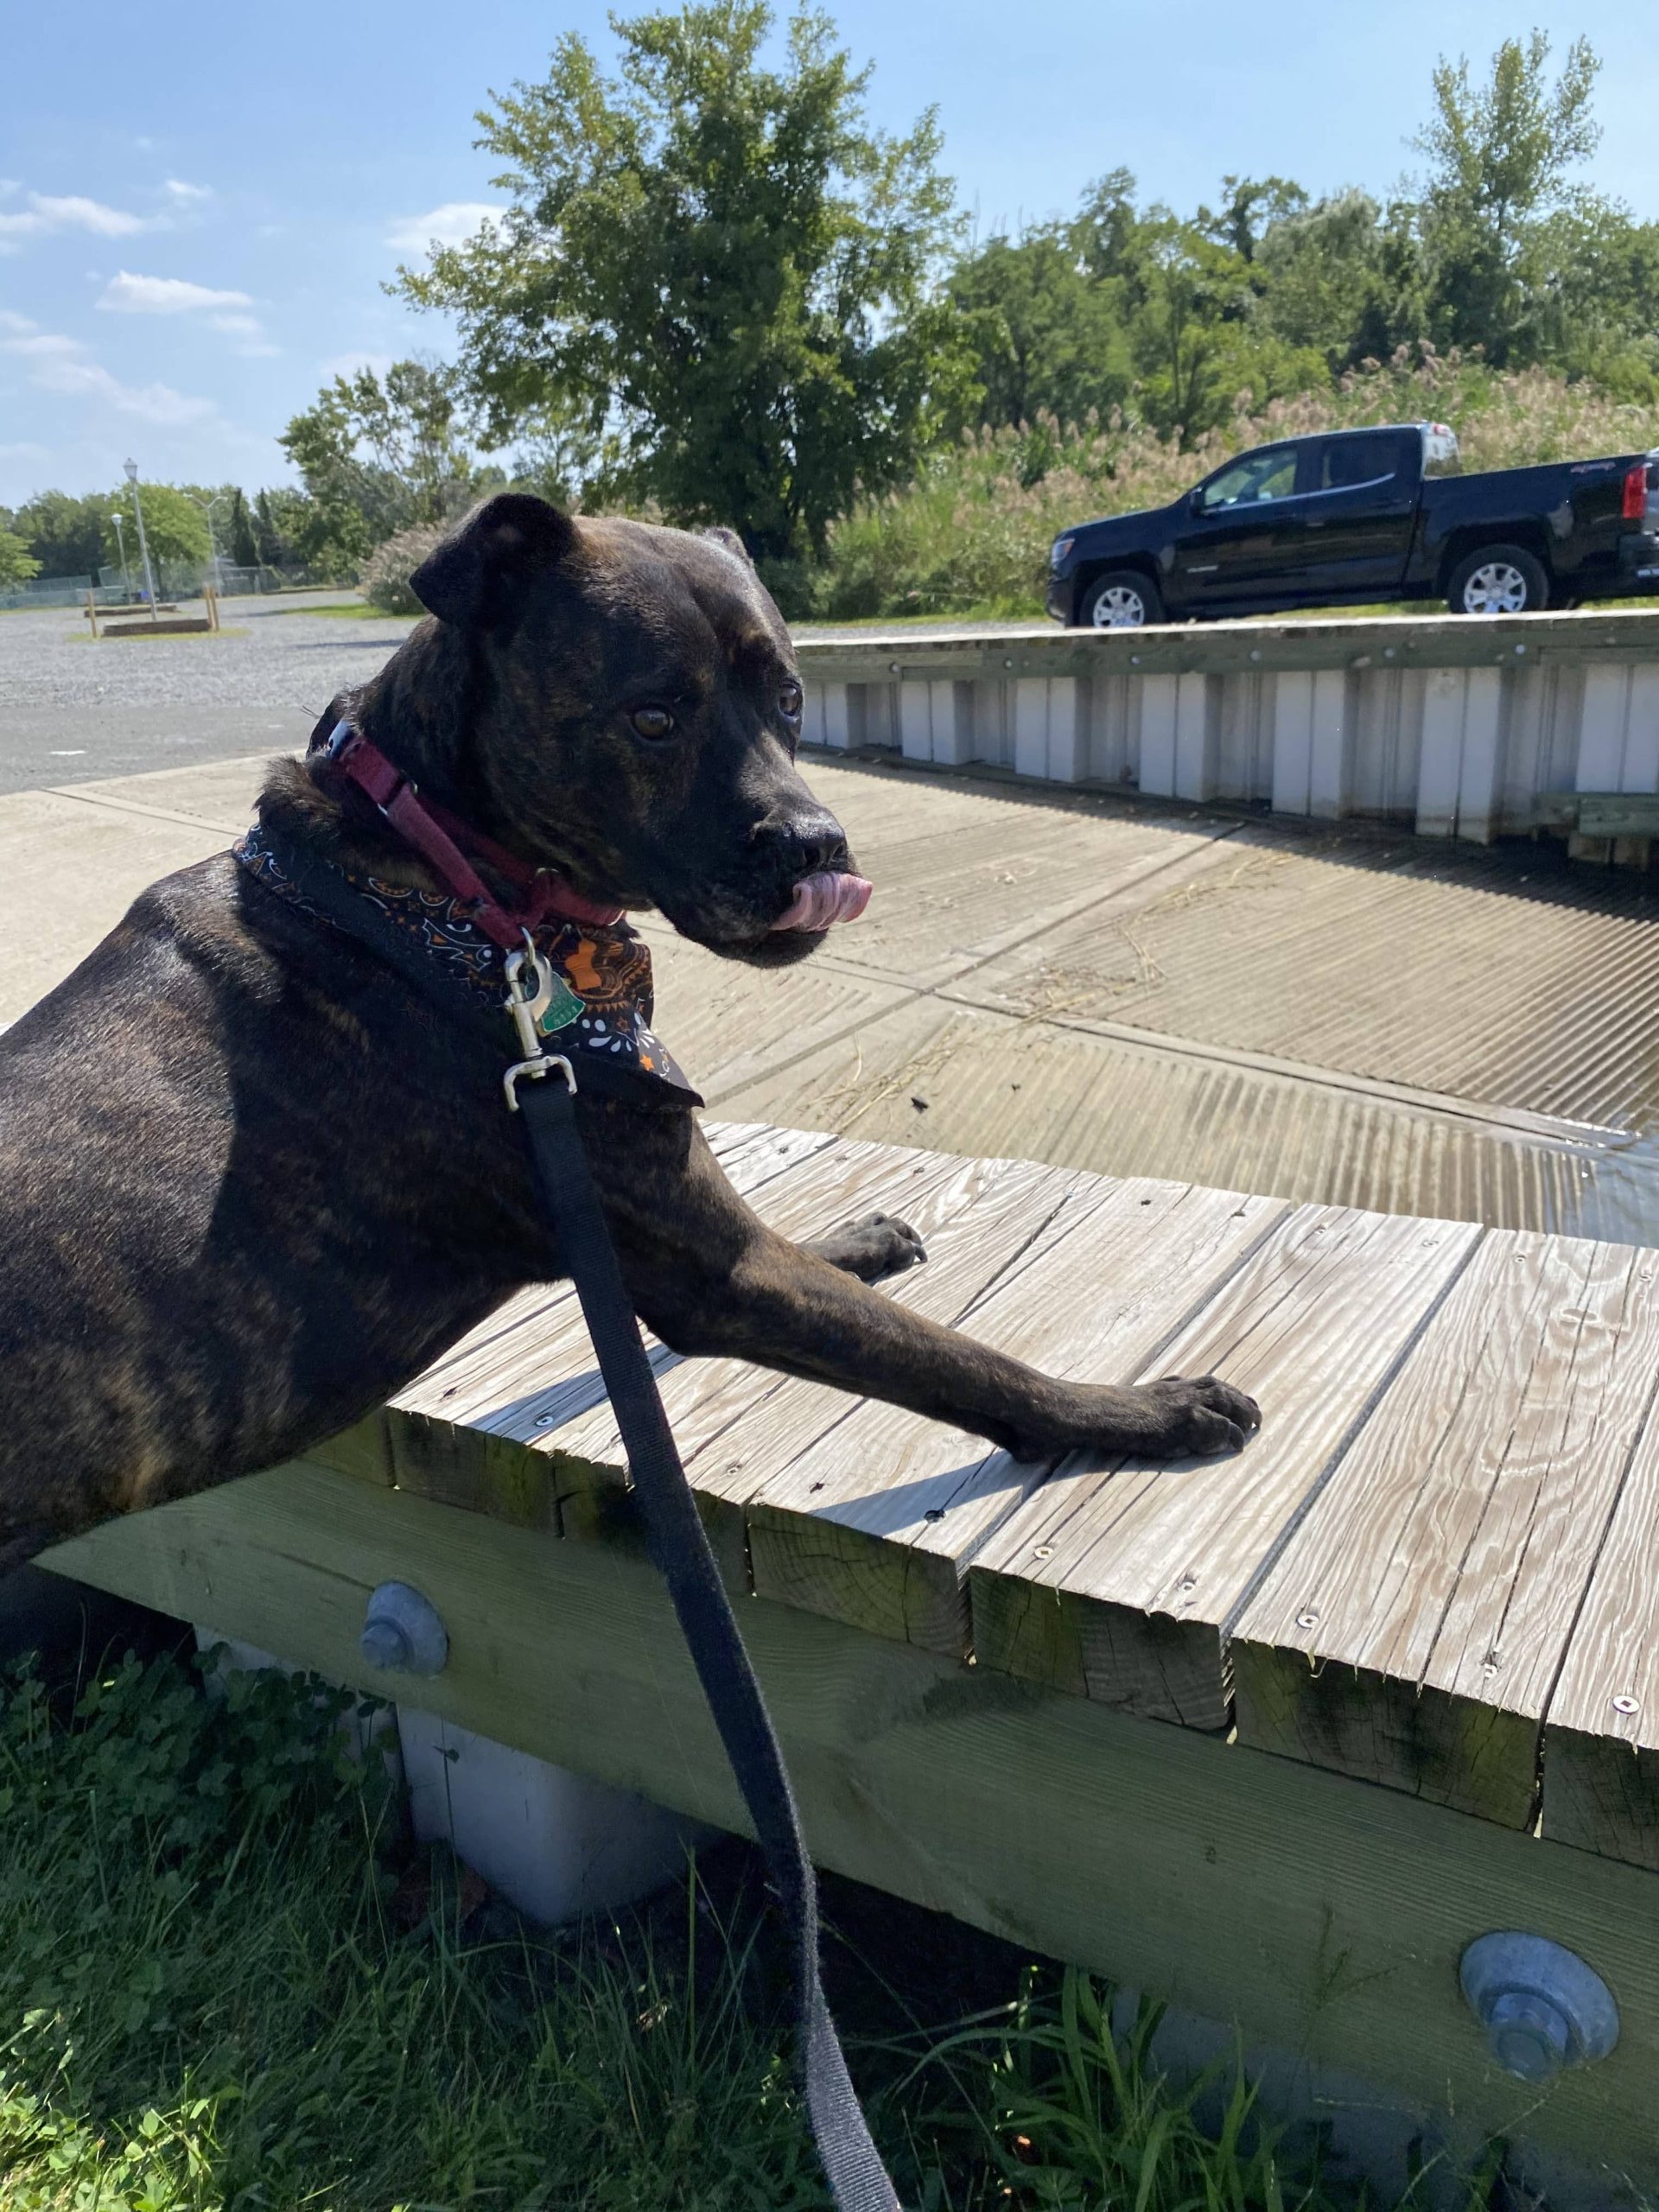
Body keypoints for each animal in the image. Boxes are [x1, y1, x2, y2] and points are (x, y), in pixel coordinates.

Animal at [0, 499, 1256, 1574]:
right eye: (654, 718)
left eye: (790, 698)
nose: (821, 848)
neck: (450, 884)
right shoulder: (714, 1266)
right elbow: (948, 1354)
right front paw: (1140, 1410)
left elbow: (815, 1261)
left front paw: (852, 1234)